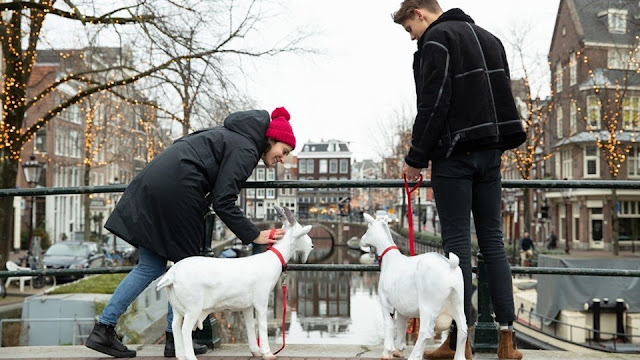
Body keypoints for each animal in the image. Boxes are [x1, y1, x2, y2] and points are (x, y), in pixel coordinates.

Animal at [158, 205, 312, 360]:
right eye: (302, 232)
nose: (311, 245)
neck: (272, 259)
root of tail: (172, 274)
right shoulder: (261, 302)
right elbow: (262, 326)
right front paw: (267, 353)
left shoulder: (248, 307)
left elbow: (251, 326)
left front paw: (256, 351)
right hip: (192, 307)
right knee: (185, 329)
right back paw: (191, 357)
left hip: (177, 307)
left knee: (175, 326)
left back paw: (180, 356)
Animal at [360, 214, 464, 360]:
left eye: (368, 228)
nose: (361, 240)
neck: (390, 260)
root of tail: (450, 267)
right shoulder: (402, 308)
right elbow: (401, 326)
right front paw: (399, 350)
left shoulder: (386, 303)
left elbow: (389, 326)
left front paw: (387, 352)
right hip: (458, 301)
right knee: (463, 329)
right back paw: (459, 357)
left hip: (428, 305)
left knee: (425, 332)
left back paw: (415, 356)